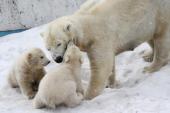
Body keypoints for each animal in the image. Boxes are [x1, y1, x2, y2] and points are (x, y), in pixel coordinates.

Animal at [40, 0, 170, 99]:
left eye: (59, 43)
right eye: (48, 48)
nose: (57, 59)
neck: (85, 27)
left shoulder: (99, 38)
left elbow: (102, 66)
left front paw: (88, 95)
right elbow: (110, 64)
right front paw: (110, 84)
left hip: (159, 12)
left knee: (161, 37)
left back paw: (150, 67)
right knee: (151, 37)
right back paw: (148, 56)